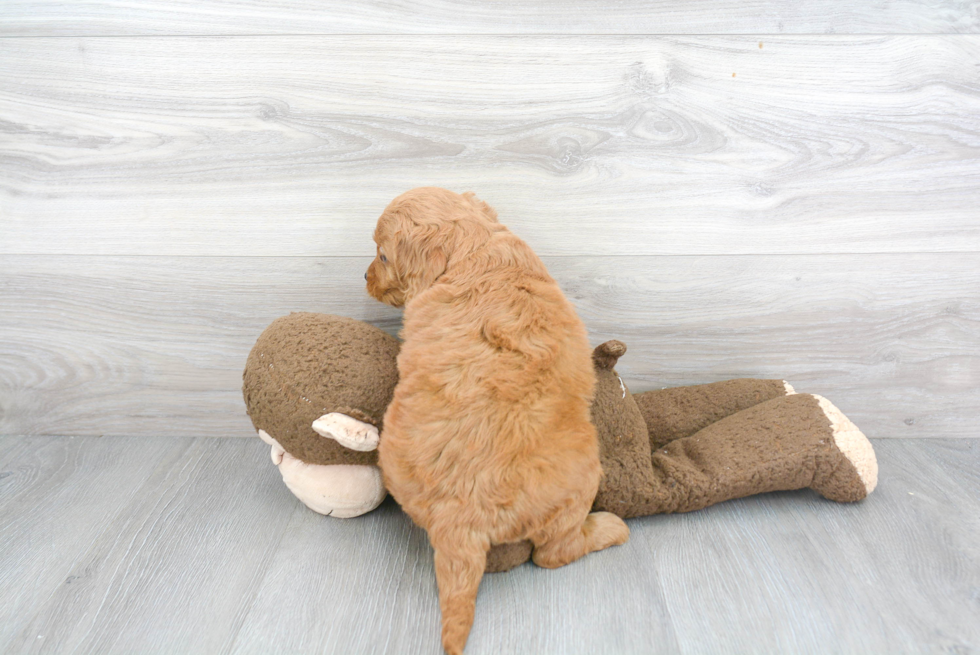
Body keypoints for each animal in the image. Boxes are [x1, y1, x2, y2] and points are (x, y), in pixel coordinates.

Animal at [366, 187, 628, 652]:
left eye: (381, 256)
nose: (365, 278)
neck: (474, 248)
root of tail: (461, 519)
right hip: (583, 478)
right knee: (553, 553)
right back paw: (609, 528)